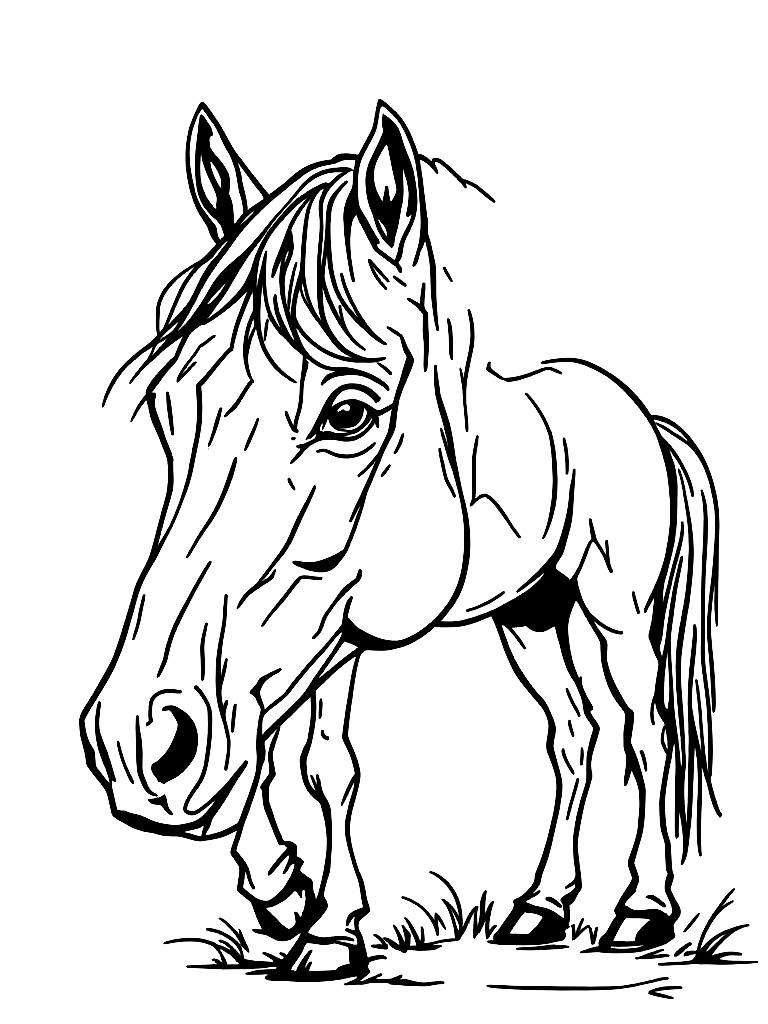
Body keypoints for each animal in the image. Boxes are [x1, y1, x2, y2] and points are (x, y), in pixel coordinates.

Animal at [81, 101, 719, 980]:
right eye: (169, 409)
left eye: (348, 413)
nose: (136, 744)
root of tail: (636, 413)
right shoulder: (305, 640)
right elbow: (282, 753)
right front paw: (288, 895)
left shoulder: (334, 627)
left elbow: (324, 765)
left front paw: (326, 927)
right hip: (531, 615)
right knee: (575, 738)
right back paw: (540, 908)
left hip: (613, 610)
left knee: (646, 734)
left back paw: (643, 910)